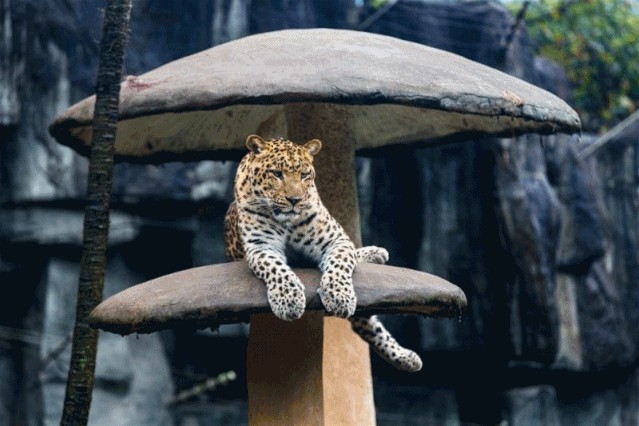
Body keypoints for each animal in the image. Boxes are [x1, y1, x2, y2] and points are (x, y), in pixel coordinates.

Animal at [225, 135, 424, 372]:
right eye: (277, 174)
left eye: (304, 175)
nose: (294, 200)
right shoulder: (261, 246)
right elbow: (276, 268)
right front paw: (288, 299)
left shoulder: (336, 240)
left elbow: (340, 263)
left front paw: (339, 296)